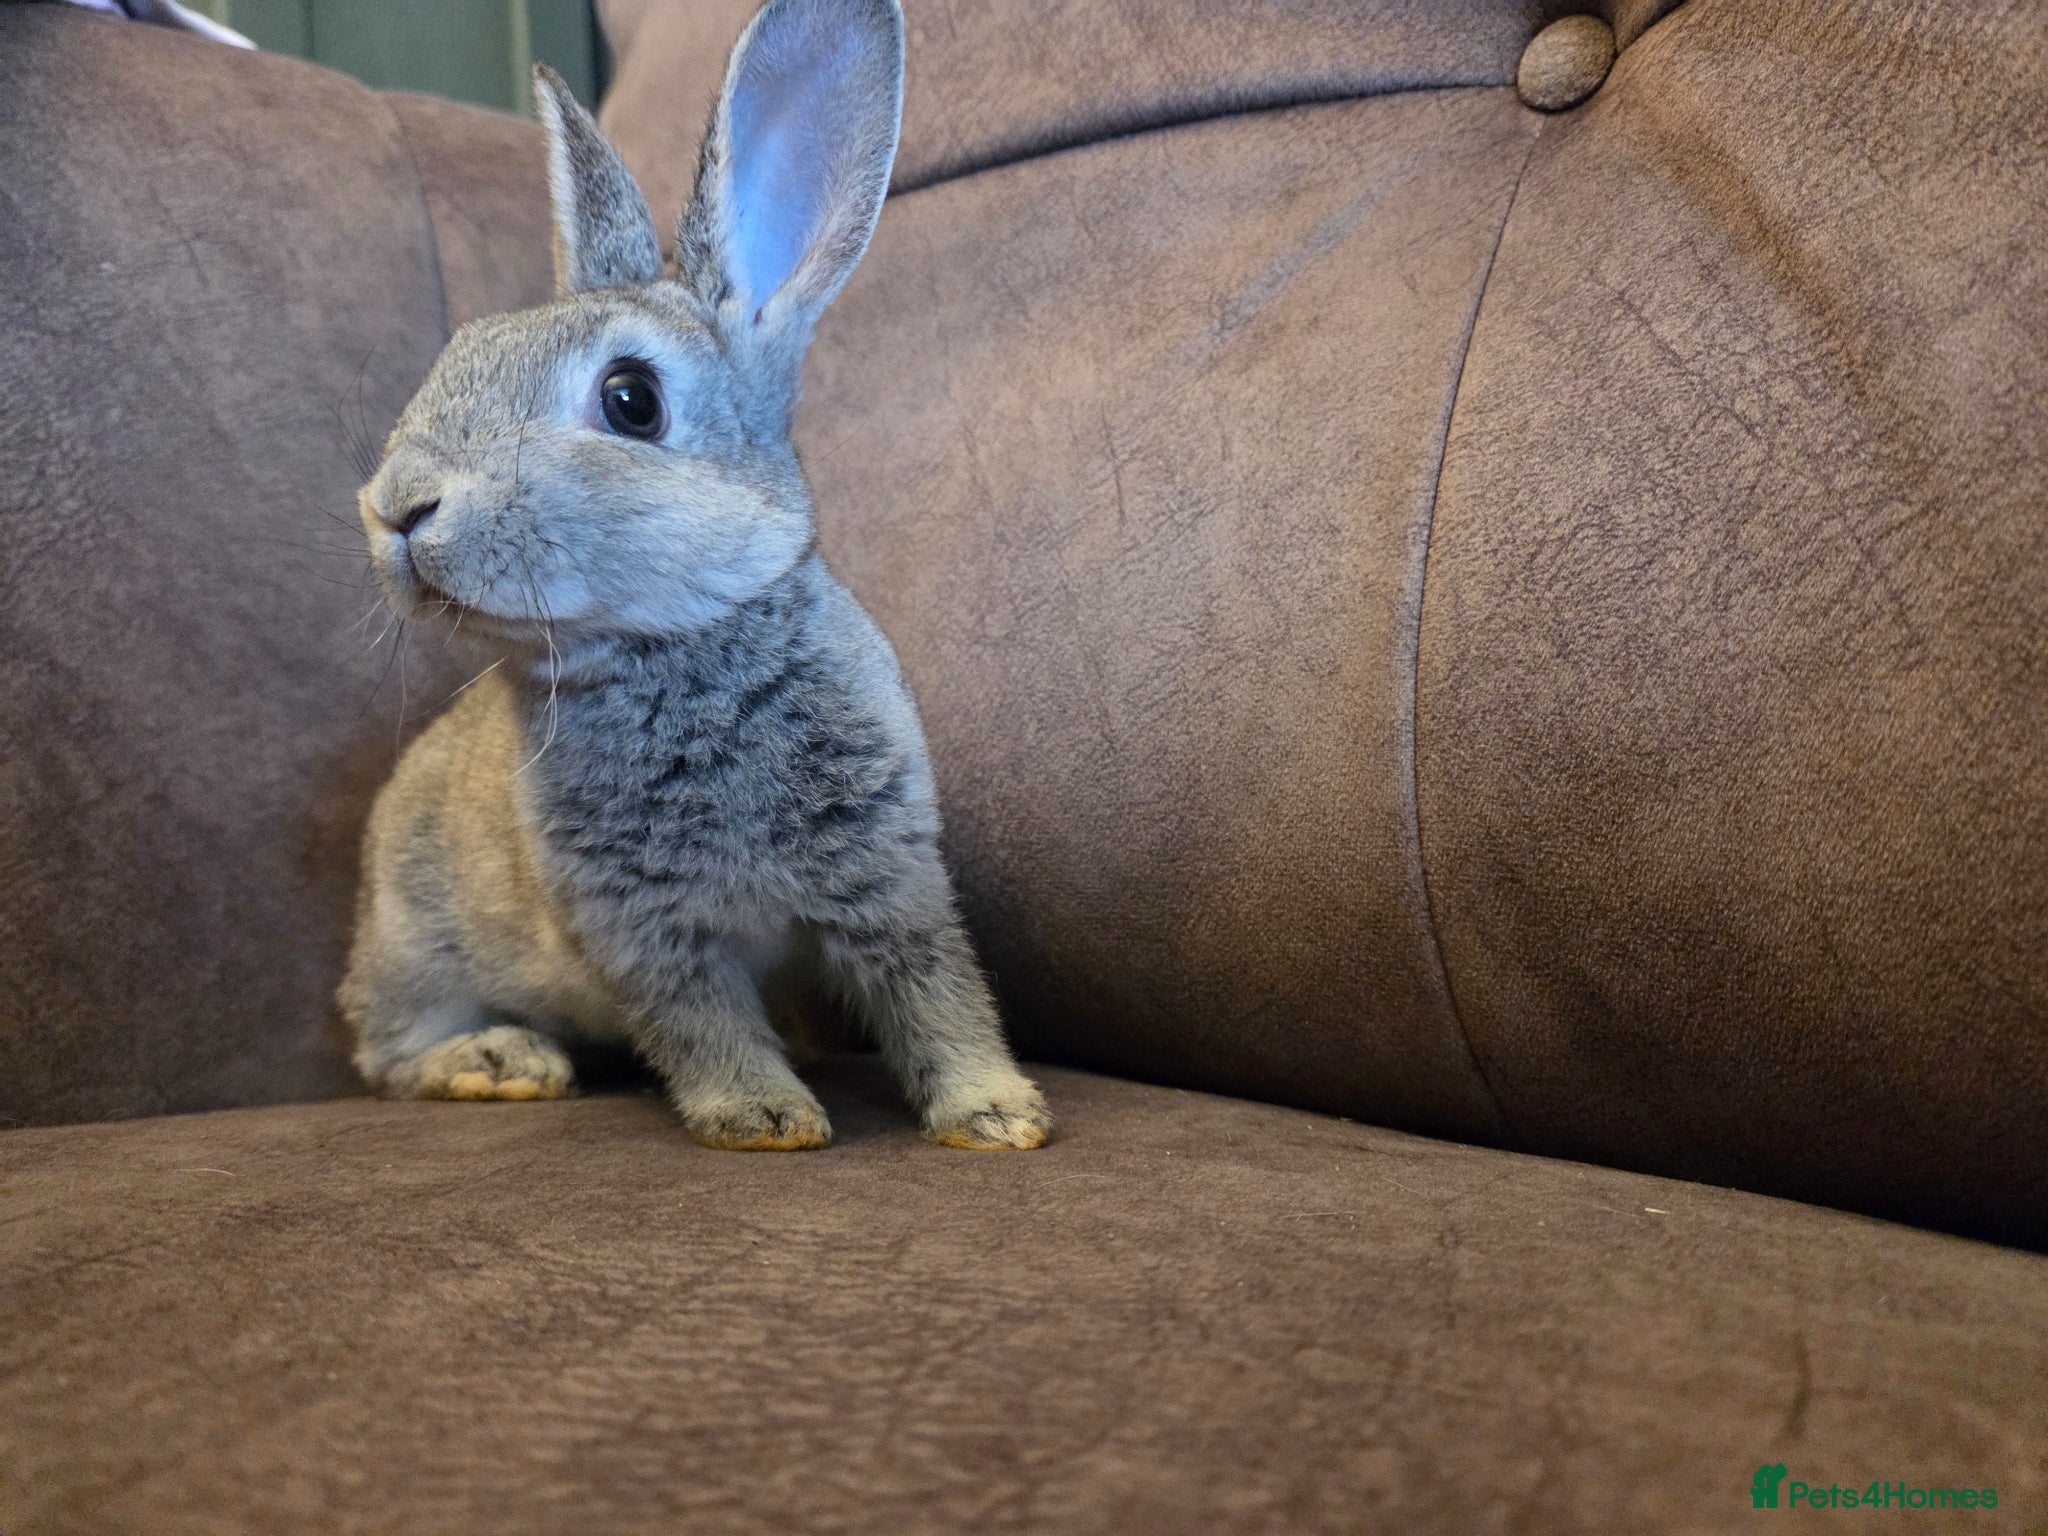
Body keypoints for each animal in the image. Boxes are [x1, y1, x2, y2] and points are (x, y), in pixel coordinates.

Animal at [336, 0, 1049, 1152]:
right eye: (459, 350)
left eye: (632, 400)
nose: (397, 507)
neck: (672, 649)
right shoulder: (642, 926)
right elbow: (704, 1022)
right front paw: (764, 1119)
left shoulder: (885, 871)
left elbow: (933, 993)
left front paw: (995, 1117)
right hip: (416, 945)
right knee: (389, 1054)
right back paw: (503, 1063)